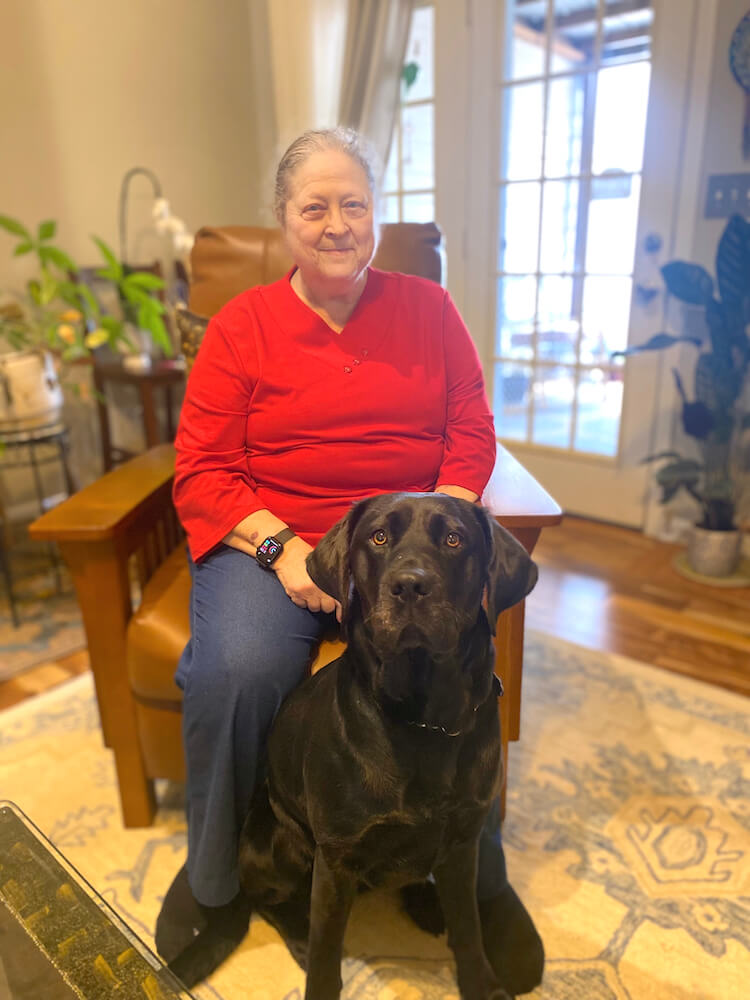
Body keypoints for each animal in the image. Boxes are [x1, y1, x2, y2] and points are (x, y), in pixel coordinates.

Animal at [238, 492, 536, 1000]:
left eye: (454, 538)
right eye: (378, 537)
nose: (410, 585)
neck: (424, 720)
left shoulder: (463, 840)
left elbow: (469, 926)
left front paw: (480, 983)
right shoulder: (336, 861)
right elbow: (326, 952)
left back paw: (426, 903)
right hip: (279, 844)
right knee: (269, 901)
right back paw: (297, 936)